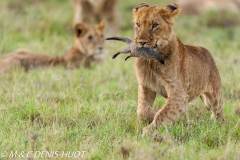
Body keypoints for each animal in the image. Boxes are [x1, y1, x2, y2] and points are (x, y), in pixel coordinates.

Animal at [109, 3, 223, 136]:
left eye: (154, 25)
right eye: (138, 24)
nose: (141, 42)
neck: (151, 61)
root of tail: (206, 51)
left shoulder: (178, 91)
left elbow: (164, 112)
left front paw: (149, 130)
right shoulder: (146, 85)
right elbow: (142, 110)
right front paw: (150, 116)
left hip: (213, 96)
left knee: (218, 112)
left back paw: (218, 124)